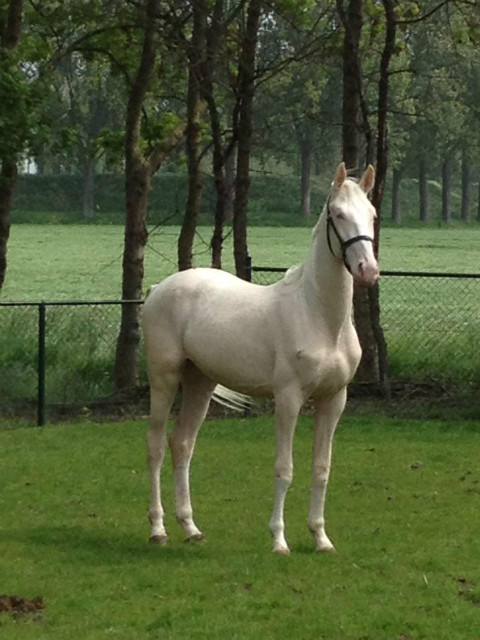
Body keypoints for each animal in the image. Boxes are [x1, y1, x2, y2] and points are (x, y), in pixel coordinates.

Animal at [142, 164, 378, 556]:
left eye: (372, 215)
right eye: (338, 214)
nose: (367, 270)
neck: (319, 316)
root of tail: (158, 289)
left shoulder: (334, 400)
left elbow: (321, 468)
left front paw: (321, 538)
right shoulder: (288, 399)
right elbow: (284, 469)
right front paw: (279, 540)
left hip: (200, 382)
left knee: (183, 445)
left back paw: (190, 528)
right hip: (164, 379)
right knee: (157, 447)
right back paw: (158, 529)